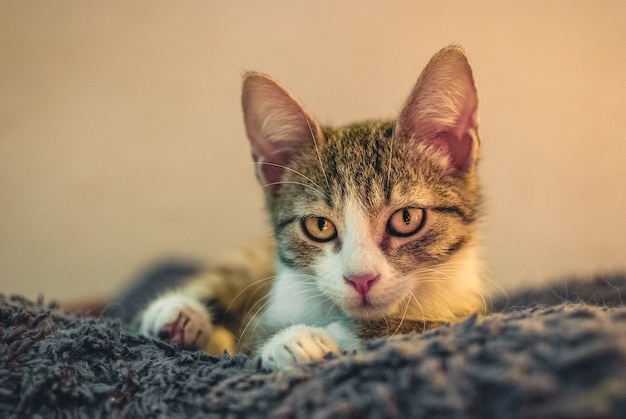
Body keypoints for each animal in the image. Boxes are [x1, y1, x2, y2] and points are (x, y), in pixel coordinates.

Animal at [139, 46, 486, 370]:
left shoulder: (464, 312)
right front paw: (290, 338)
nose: (361, 279)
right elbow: (249, 333)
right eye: (320, 226)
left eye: (406, 218)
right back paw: (176, 314)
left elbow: (411, 328)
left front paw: (308, 338)